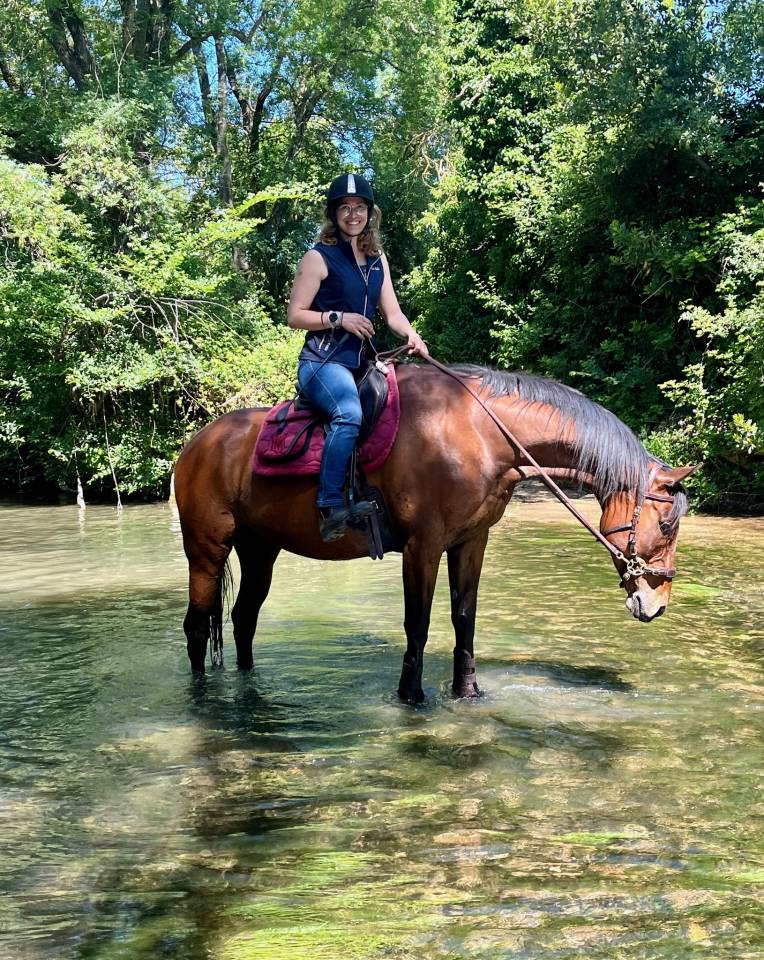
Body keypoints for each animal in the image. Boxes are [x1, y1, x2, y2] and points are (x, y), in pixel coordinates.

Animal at [173, 362, 698, 703]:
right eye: (665, 525)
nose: (657, 604)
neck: (482, 436)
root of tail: (195, 445)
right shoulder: (421, 547)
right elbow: (418, 623)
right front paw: (411, 695)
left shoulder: (470, 542)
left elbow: (464, 618)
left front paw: (467, 691)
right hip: (206, 550)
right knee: (197, 625)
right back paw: (199, 699)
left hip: (259, 550)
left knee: (243, 618)